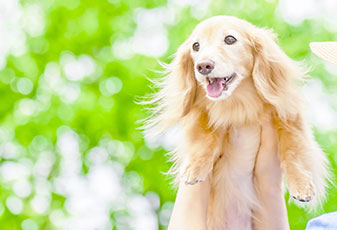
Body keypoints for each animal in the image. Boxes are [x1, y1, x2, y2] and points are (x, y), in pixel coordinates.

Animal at [144, 15, 328, 228]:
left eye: (230, 39)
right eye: (195, 46)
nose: (203, 66)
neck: (237, 105)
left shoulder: (290, 117)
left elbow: (292, 150)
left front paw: (301, 184)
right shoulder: (201, 114)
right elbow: (204, 136)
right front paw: (195, 167)